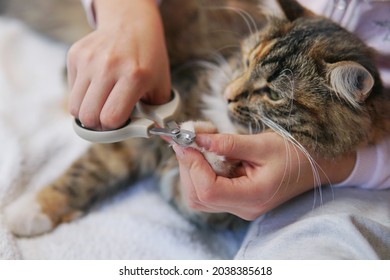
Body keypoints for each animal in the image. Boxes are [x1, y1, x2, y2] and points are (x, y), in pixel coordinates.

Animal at [3, 0, 390, 236]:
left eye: (273, 93)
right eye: (246, 60)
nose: (229, 94)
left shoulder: (197, 200)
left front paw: (211, 147)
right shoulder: (132, 133)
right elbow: (86, 170)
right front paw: (31, 210)